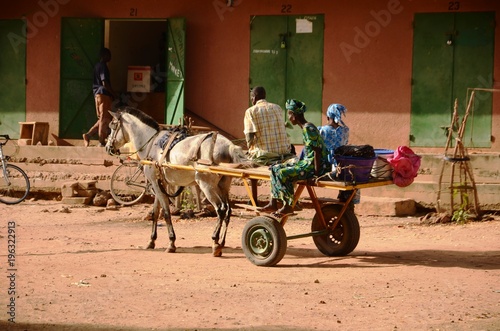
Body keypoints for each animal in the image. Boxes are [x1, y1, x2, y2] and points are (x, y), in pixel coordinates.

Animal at [104, 107, 249, 258]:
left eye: (112, 125)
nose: (108, 147)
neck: (151, 143)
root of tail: (229, 145)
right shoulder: (158, 184)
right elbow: (155, 212)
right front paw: (151, 241)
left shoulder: (156, 184)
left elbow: (166, 213)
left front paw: (171, 243)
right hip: (223, 185)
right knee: (228, 210)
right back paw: (221, 242)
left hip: (206, 185)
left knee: (220, 209)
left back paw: (215, 242)